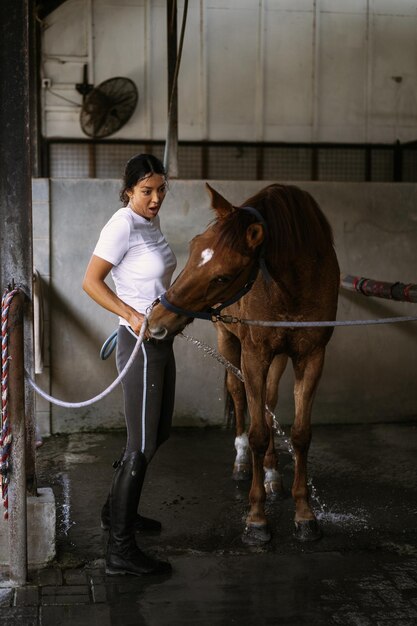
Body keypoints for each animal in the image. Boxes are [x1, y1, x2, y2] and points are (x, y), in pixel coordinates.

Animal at [146, 180, 338, 540]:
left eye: (223, 276)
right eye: (194, 247)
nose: (155, 321)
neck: (293, 285)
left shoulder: (312, 356)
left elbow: (300, 434)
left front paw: (305, 514)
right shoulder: (253, 354)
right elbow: (257, 433)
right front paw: (257, 518)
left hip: (275, 357)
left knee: (269, 401)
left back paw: (272, 473)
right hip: (228, 340)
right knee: (238, 393)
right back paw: (241, 463)